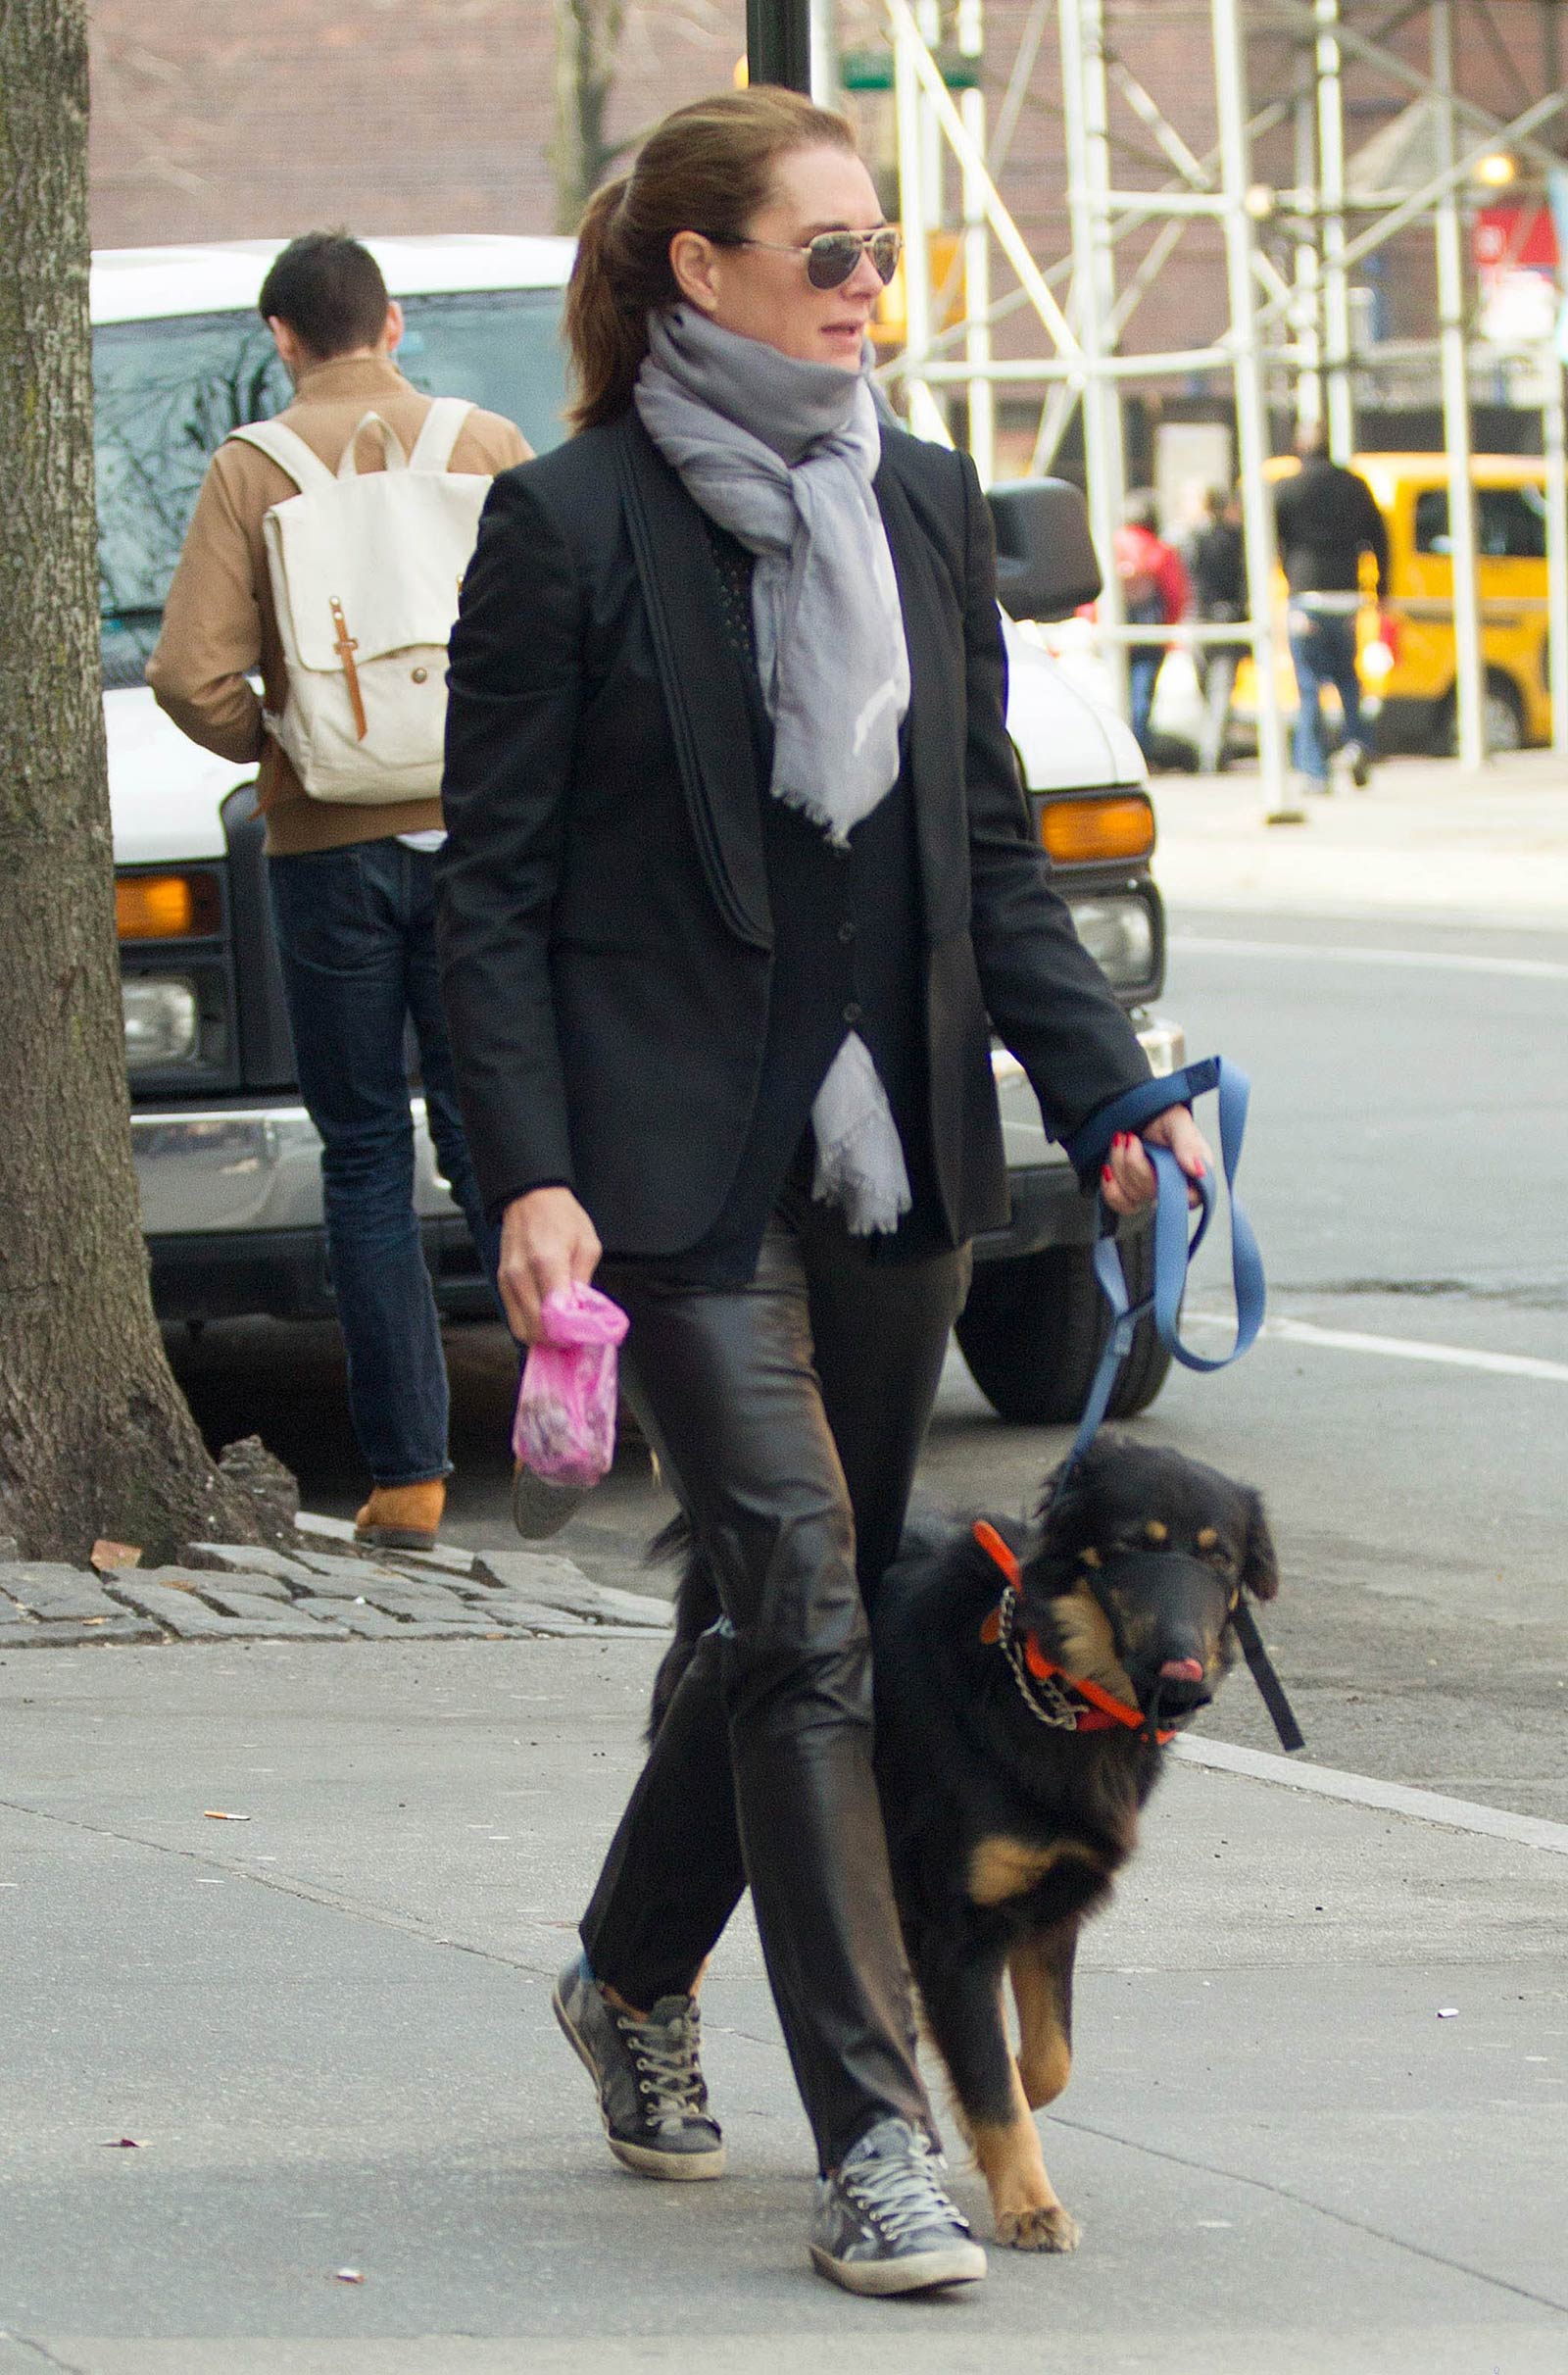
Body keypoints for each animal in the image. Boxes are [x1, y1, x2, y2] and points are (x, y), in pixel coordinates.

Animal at [646, 1434, 1273, 2251]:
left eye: (1220, 1559)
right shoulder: (960, 1926)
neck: (1045, 1687)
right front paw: (1030, 2203)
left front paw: (978, 2120)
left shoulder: (1050, 1903)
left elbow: (1043, 2063)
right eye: (1135, 1545)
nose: (1186, 1673)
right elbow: (995, 2076)